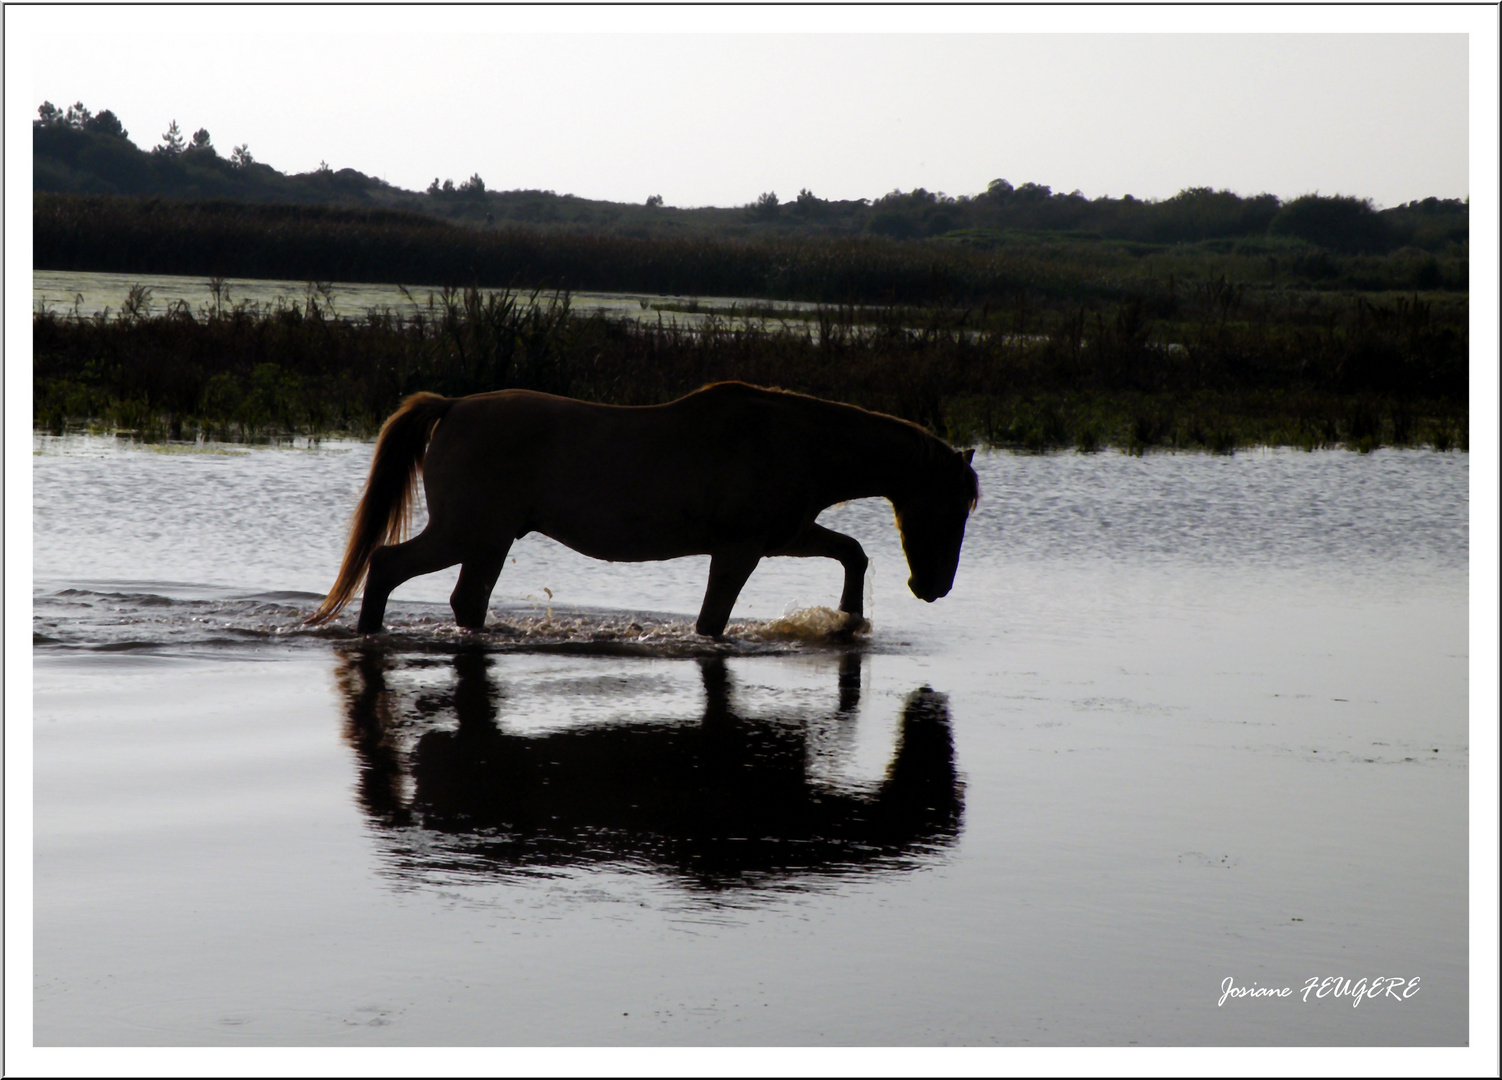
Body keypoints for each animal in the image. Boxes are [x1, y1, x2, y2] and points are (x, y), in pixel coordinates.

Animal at [310, 380, 979, 633]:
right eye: (955, 508)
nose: (933, 586)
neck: (797, 440)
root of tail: (451, 406)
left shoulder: (784, 535)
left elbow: (853, 552)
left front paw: (848, 621)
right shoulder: (742, 548)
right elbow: (712, 620)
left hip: (488, 540)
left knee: (462, 599)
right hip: (467, 532)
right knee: (388, 566)